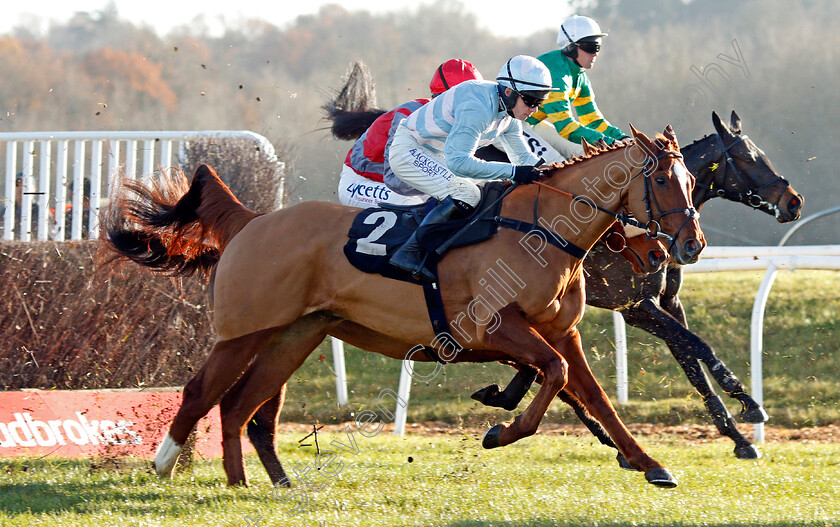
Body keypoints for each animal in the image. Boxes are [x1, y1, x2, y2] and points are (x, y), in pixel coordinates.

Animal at [103, 126, 704, 488]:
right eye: (660, 178)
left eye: (692, 179)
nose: (685, 245)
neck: (540, 228)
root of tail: (253, 219)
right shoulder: (491, 325)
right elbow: (552, 376)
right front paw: (499, 431)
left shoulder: (561, 333)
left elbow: (595, 398)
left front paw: (653, 466)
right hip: (244, 331)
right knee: (202, 392)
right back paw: (165, 465)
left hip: (296, 335)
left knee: (240, 407)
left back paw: (256, 484)